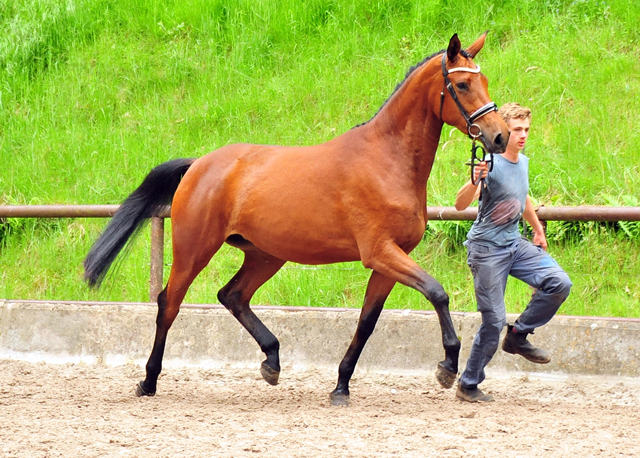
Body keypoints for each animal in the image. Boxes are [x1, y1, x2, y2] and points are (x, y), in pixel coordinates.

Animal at [85, 33, 508, 404]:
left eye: (486, 80)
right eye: (464, 84)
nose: (500, 136)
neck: (387, 160)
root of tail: (199, 164)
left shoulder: (388, 261)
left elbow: (367, 323)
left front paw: (341, 387)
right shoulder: (380, 252)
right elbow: (437, 292)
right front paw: (447, 366)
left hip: (265, 254)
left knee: (232, 295)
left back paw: (271, 361)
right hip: (194, 250)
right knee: (168, 303)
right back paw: (148, 380)